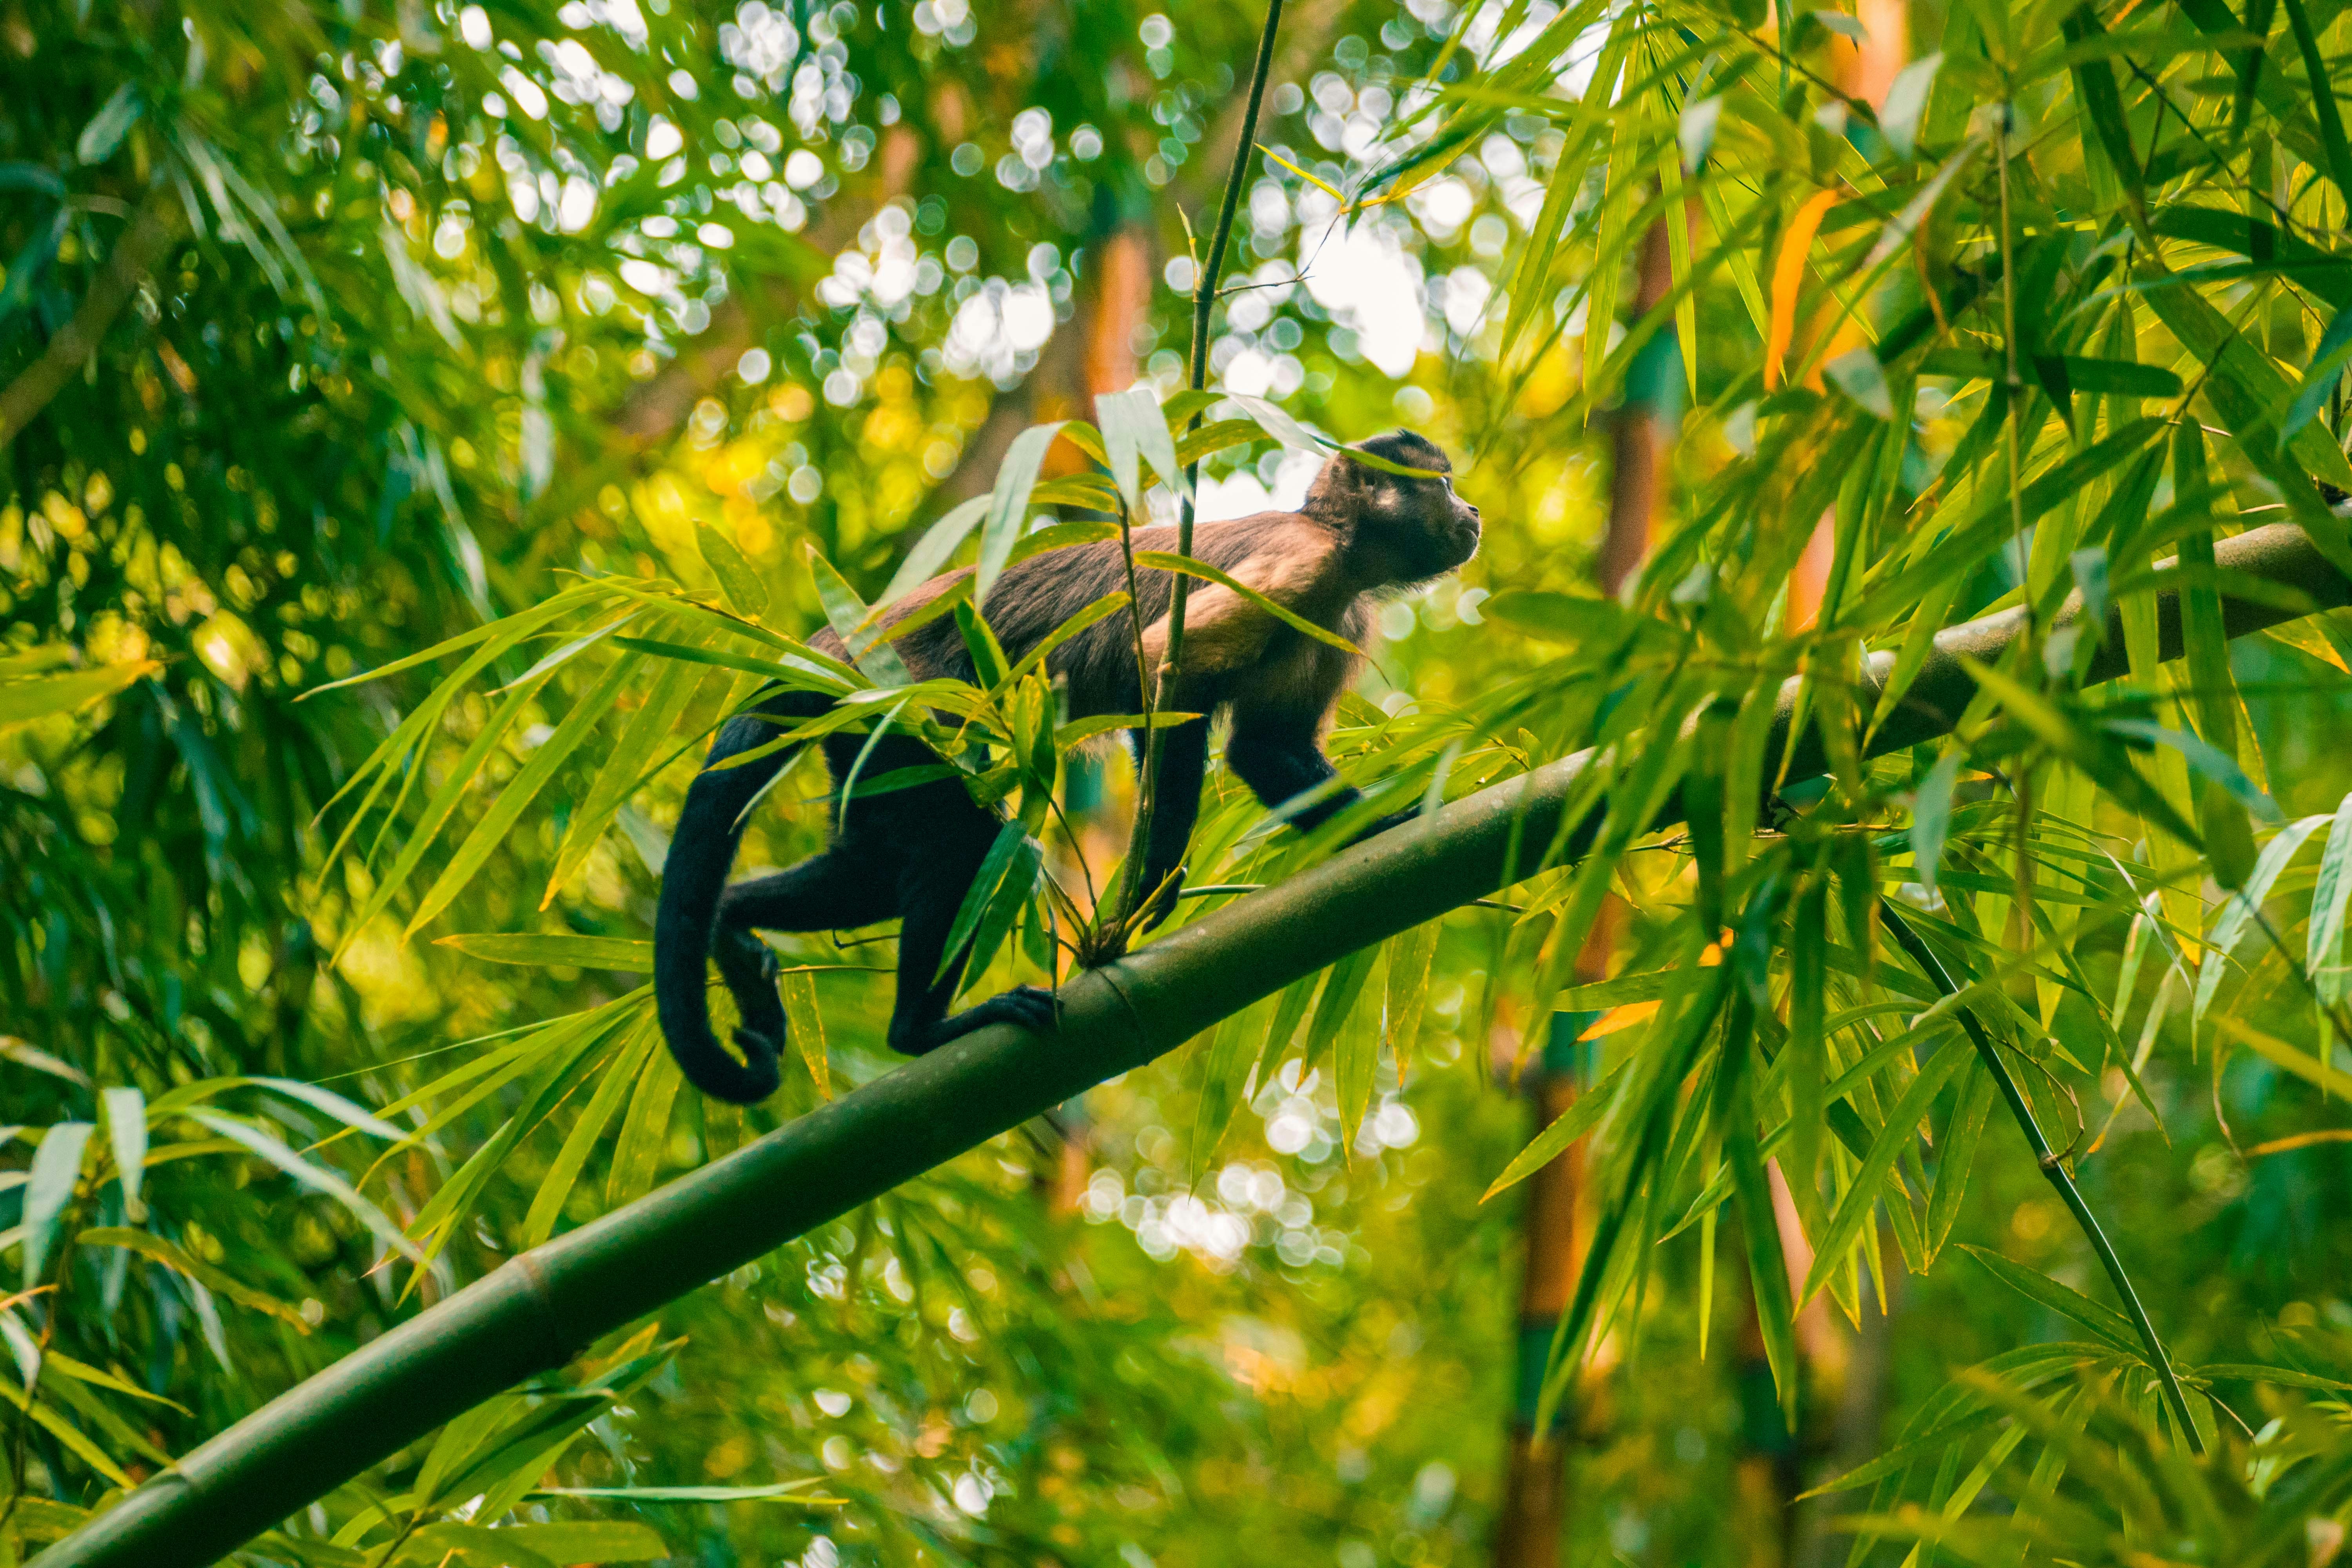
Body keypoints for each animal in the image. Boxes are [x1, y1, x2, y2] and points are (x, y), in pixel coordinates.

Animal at [653, 428, 1481, 1103]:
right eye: (1442, 484)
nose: (1471, 511)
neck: (1341, 544)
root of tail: (832, 649)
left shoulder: (1340, 617)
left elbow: (1265, 749)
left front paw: (1395, 820)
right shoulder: (1301, 565)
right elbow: (1165, 674)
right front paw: (1148, 894)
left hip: (863, 738)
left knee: (877, 860)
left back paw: (735, 924)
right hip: (899, 707)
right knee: (964, 840)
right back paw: (921, 1031)